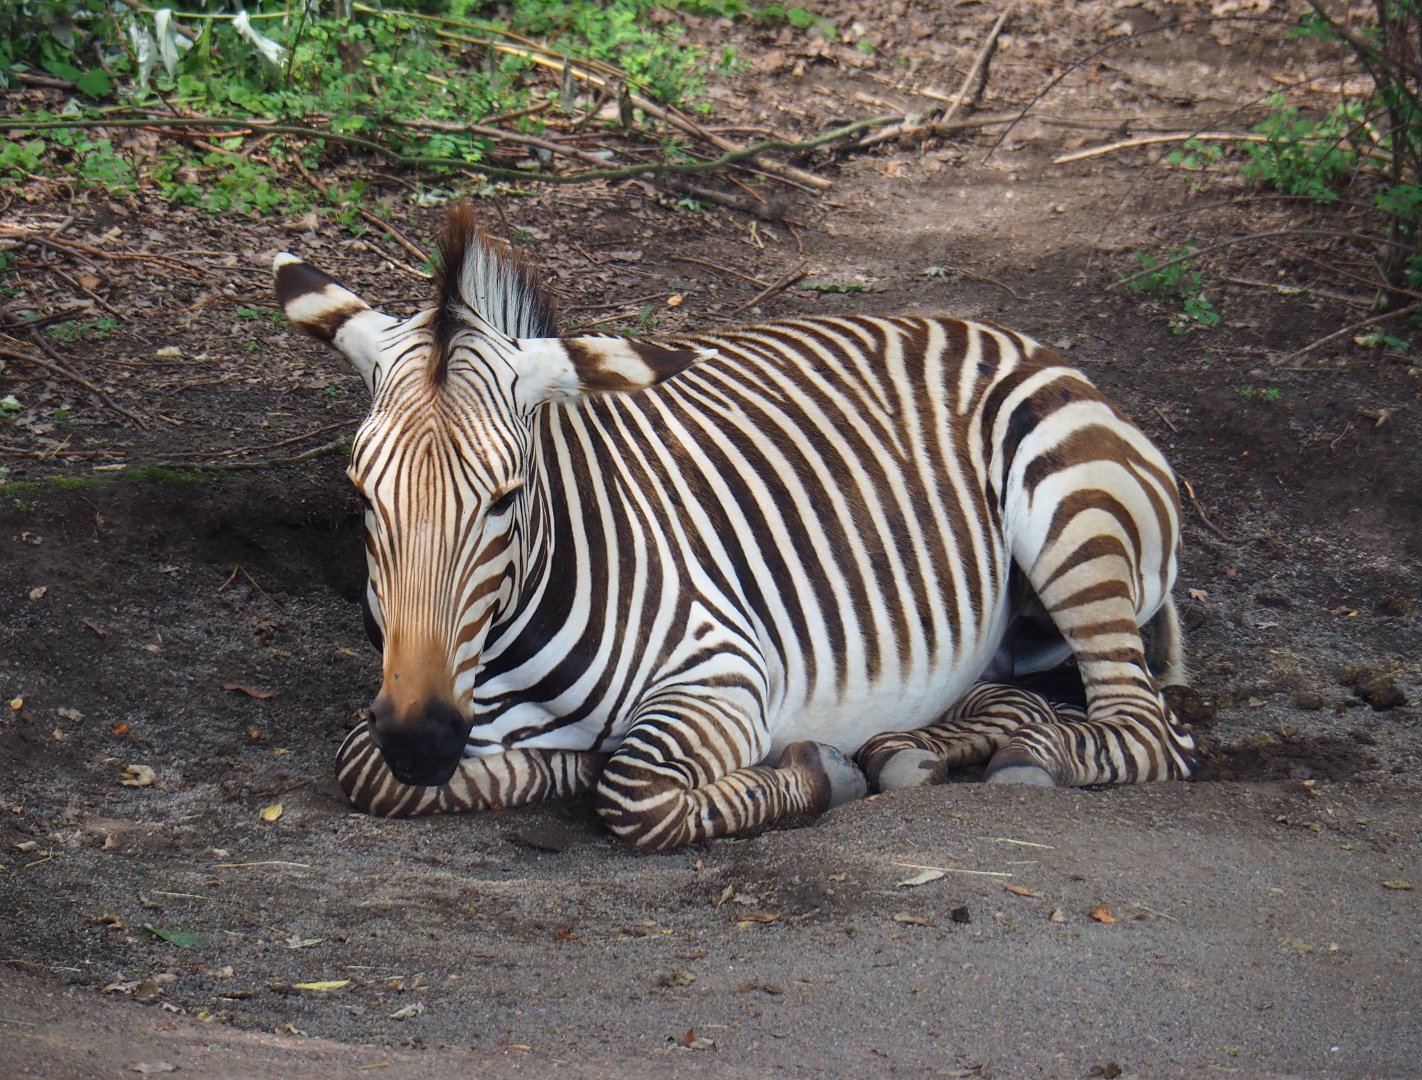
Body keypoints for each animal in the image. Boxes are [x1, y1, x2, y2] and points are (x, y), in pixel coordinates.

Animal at [273, 203, 1195, 851]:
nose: (424, 739)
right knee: (1013, 696)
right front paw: (549, 763)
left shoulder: (722, 673)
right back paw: (920, 746)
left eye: (506, 497)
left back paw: (1031, 756)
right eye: (362, 496)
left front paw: (808, 775)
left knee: (1146, 732)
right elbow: (369, 772)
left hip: (1073, 516)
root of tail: (1016, 336)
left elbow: (633, 791)